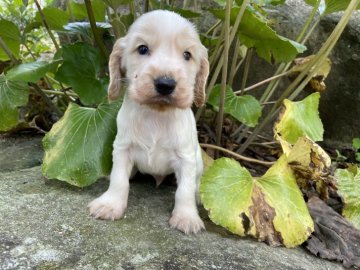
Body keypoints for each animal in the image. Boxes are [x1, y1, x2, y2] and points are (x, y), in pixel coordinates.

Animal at [88, 9, 210, 233]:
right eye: (142, 49)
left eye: (187, 55)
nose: (165, 84)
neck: (156, 114)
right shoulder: (123, 148)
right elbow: (119, 179)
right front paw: (110, 204)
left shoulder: (186, 158)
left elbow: (185, 190)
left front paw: (187, 216)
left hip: (198, 161)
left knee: (195, 183)